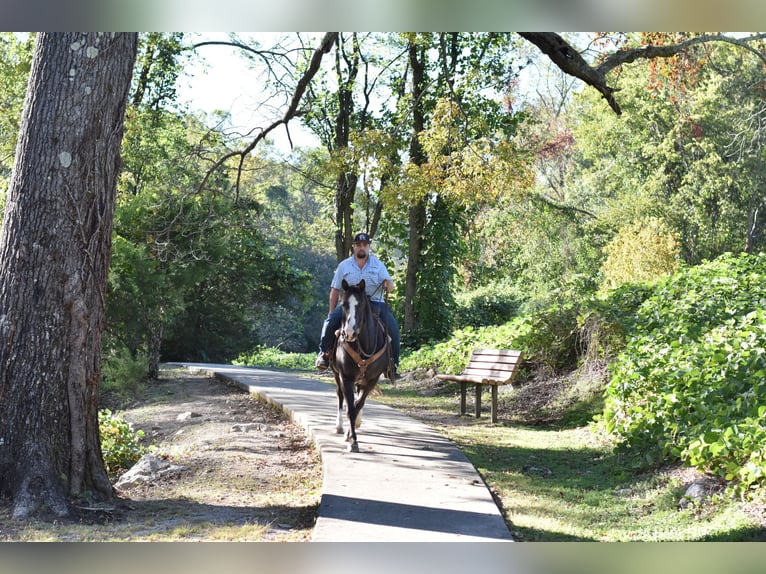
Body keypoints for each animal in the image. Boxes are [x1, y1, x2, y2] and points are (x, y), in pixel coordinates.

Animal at [329, 278, 392, 453]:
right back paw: (340, 426)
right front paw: (353, 441)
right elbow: (351, 408)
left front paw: (352, 433)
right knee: (340, 396)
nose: (349, 333)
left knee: (358, 400)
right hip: (337, 375)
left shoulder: (372, 380)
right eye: (344, 304)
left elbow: (358, 405)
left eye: (361, 304)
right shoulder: (346, 377)